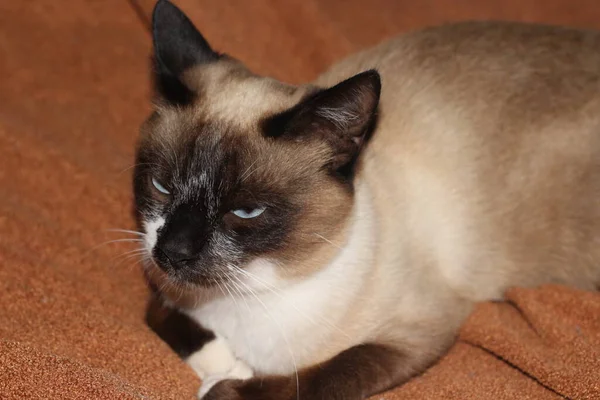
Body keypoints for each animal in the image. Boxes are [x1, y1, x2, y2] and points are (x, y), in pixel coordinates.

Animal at [135, 0, 600, 400]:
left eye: (246, 211)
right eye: (161, 186)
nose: (173, 251)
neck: (248, 292)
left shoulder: (420, 330)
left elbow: (327, 374)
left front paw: (226, 382)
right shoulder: (159, 281)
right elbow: (154, 313)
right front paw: (225, 362)